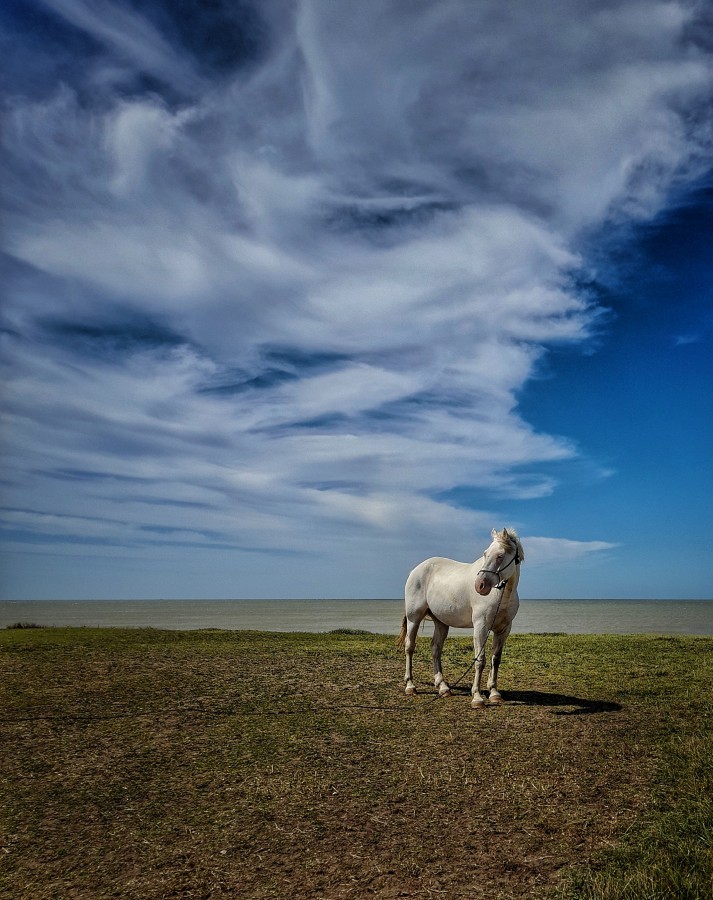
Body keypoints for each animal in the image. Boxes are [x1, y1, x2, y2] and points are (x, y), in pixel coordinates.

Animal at [394, 528, 524, 712]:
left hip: (441, 622)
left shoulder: (504, 629)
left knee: (435, 648)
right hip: (414, 617)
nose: (480, 585)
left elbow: (496, 659)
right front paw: (477, 698)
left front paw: (494, 693)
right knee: (409, 647)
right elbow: (480, 660)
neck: (501, 595)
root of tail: (415, 570)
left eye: (500, 556)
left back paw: (443, 687)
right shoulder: (481, 626)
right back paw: (410, 686)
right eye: (485, 554)